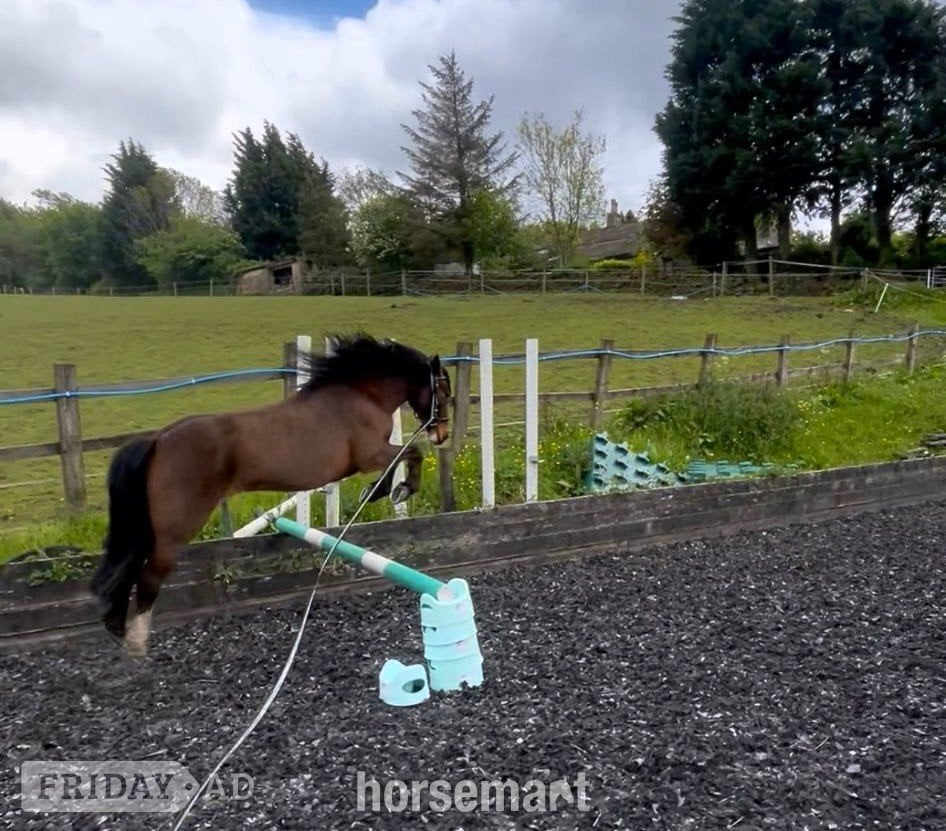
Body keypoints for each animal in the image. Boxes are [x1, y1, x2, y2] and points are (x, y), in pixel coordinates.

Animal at [88, 333, 452, 658]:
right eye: (443, 390)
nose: (442, 433)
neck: (360, 395)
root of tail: (158, 440)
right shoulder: (369, 454)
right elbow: (410, 453)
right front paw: (396, 490)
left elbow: (399, 459)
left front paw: (380, 491)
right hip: (174, 530)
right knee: (148, 577)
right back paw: (137, 647)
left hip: (148, 528)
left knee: (127, 569)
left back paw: (118, 629)